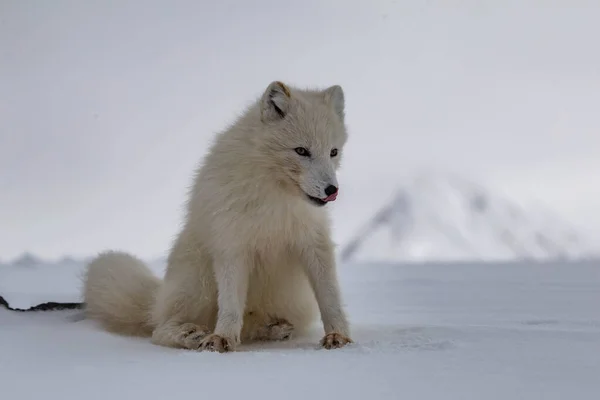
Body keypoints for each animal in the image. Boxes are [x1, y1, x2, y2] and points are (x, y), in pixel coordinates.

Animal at [79, 81, 352, 354]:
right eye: (301, 151)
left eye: (333, 152)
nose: (332, 190)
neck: (276, 198)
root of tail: (157, 299)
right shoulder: (231, 244)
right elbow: (230, 304)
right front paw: (222, 338)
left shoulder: (313, 243)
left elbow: (330, 298)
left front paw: (338, 336)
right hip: (198, 281)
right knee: (160, 330)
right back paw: (190, 334)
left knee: (251, 324)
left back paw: (273, 328)